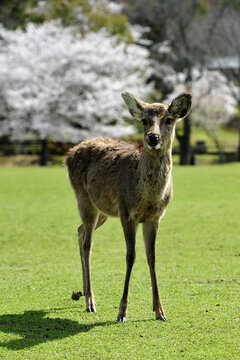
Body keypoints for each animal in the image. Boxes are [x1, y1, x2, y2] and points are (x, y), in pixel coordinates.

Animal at [64, 91, 192, 322]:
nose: (152, 137)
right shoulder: (127, 213)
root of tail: (68, 155)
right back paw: (90, 302)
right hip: (84, 198)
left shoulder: (155, 217)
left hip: (103, 209)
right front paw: (122, 312)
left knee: (79, 231)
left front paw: (160, 311)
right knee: (88, 244)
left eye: (169, 119)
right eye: (144, 121)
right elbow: (130, 256)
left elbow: (152, 256)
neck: (148, 198)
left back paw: (83, 291)